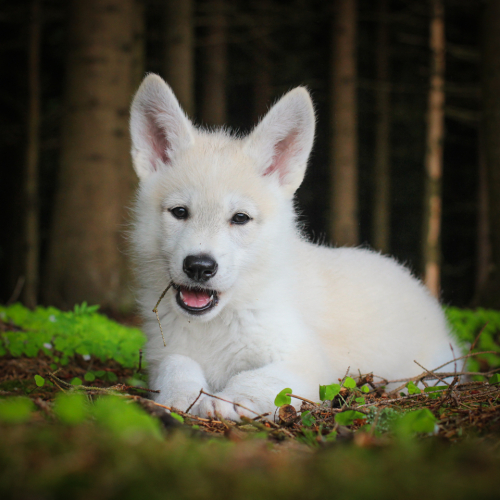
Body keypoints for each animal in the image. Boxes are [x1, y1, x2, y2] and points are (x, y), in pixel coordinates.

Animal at [129, 73, 458, 418]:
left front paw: (228, 401)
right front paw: (181, 397)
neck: (218, 323)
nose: (199, 267)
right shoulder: (161, 353)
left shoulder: (307, 365)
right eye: (180, 212)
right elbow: (176, 365)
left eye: (240, 218)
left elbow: (257, 379)